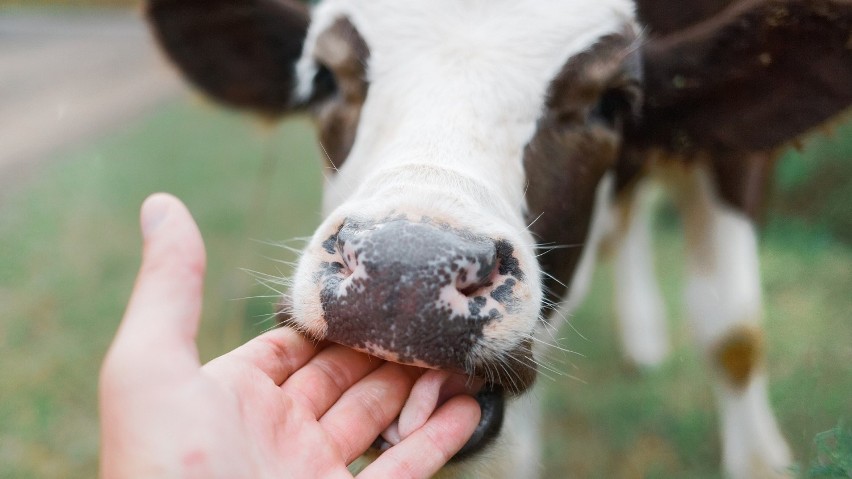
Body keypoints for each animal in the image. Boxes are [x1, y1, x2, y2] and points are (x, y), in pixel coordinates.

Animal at [146, 1, 852, 478]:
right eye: (323, 77)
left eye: (612, 102)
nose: (403, 276)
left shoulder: (737, 158)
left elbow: (733, 334)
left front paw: (760, 461)